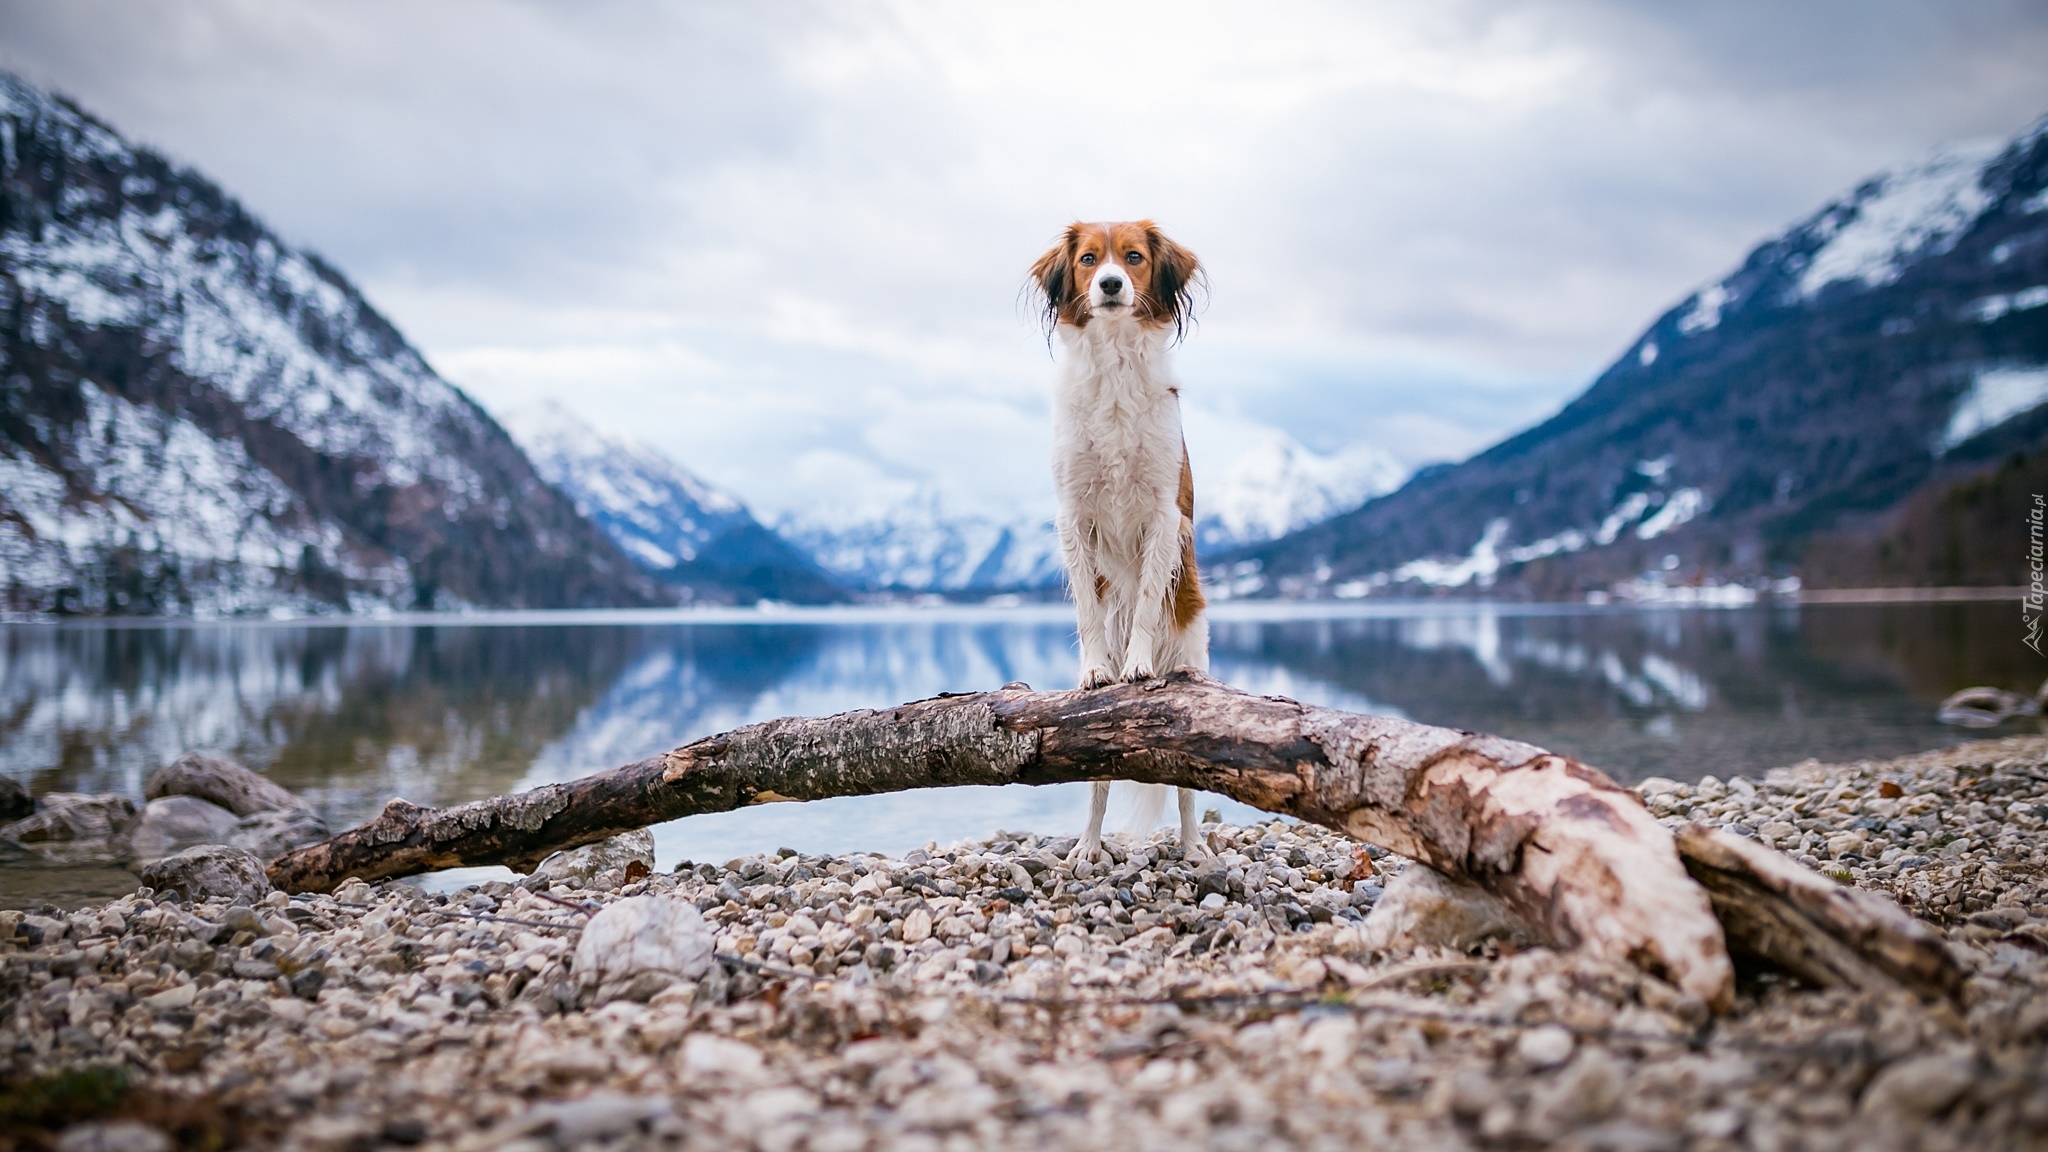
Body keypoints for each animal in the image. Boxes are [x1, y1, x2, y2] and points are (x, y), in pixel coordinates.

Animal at [1032, 219, 1204, 856]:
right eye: (1088, 260)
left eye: (1133, 257)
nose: (1110, 284)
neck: (1113, 365)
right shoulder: (1072, 514)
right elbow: (1085, 608)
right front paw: (1098, 669)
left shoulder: (1162, 513)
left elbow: (1151, 598)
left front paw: (1135, 665)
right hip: (1088, 745)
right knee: (1096, 773)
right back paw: (1087, 847)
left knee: (1189, 788)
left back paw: (1194, 848)